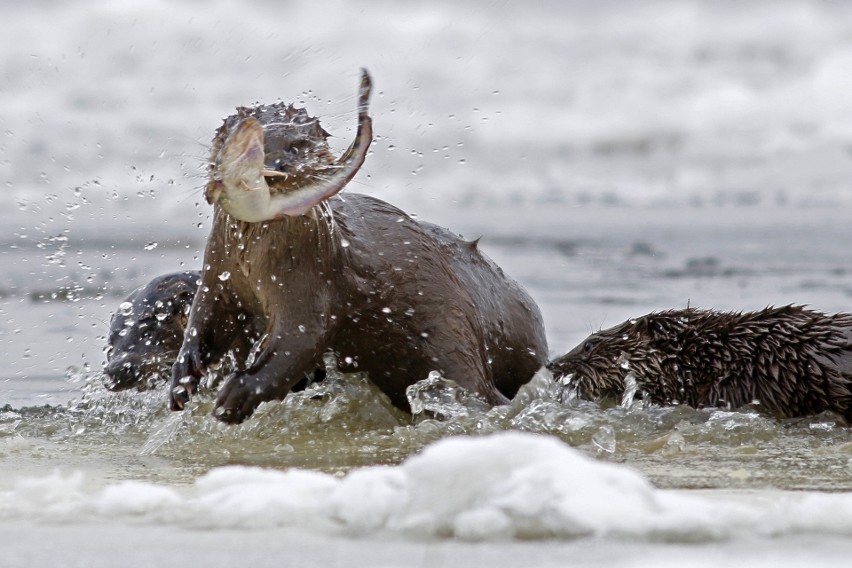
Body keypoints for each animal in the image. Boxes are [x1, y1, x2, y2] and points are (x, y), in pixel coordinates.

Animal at [170, 71, 548, 424]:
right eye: (233, 142)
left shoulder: (311, 277)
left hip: (453, 336)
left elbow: (298, 342)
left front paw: (236, 395)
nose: (274, 168)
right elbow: (205, 319)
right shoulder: (220, 272)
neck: (254, 265)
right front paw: (183, 378)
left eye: (298, 145)